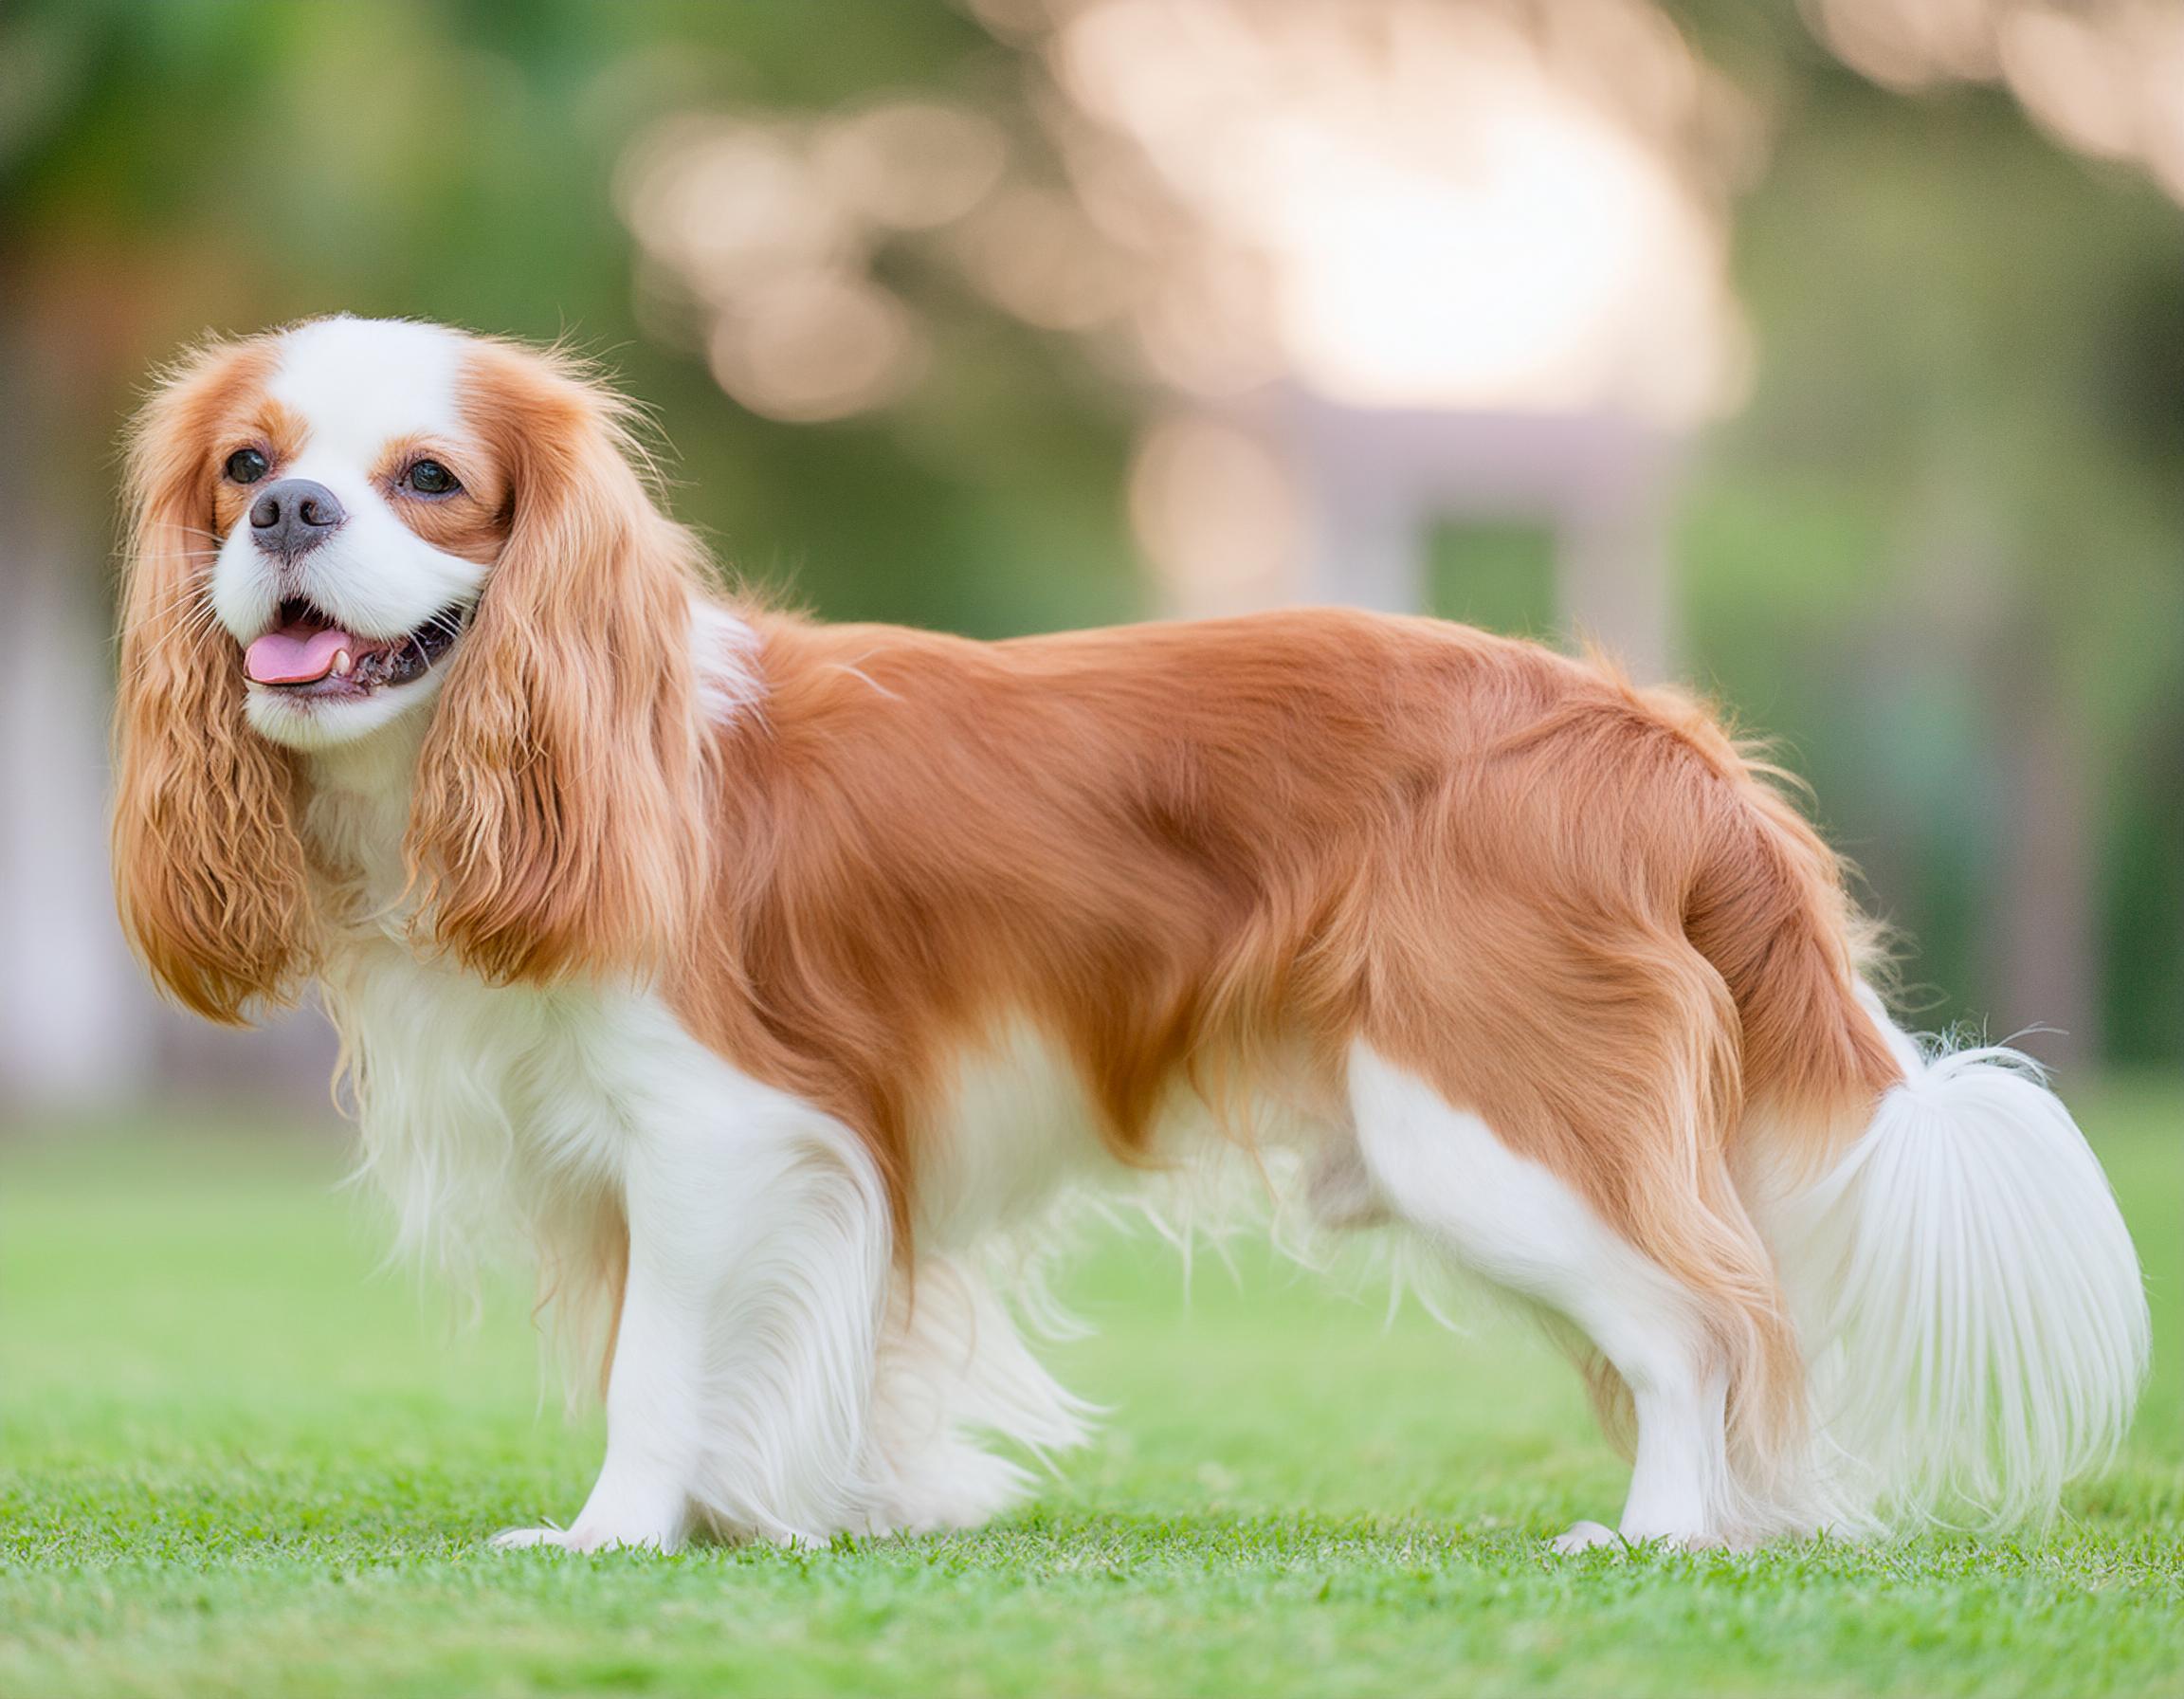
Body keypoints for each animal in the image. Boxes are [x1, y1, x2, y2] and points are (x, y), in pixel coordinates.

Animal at [110, 310, 2139, 1545]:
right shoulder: (677, 1161)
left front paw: (620, 1534)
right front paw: (810, 1510)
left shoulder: (721, 1134)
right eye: (243, 468)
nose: (291, 514)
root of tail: (1648, 730)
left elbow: (660, 1368)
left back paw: (1658, 1535)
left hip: (1481, 1123)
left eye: (426, 481)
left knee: (1703, 1317)